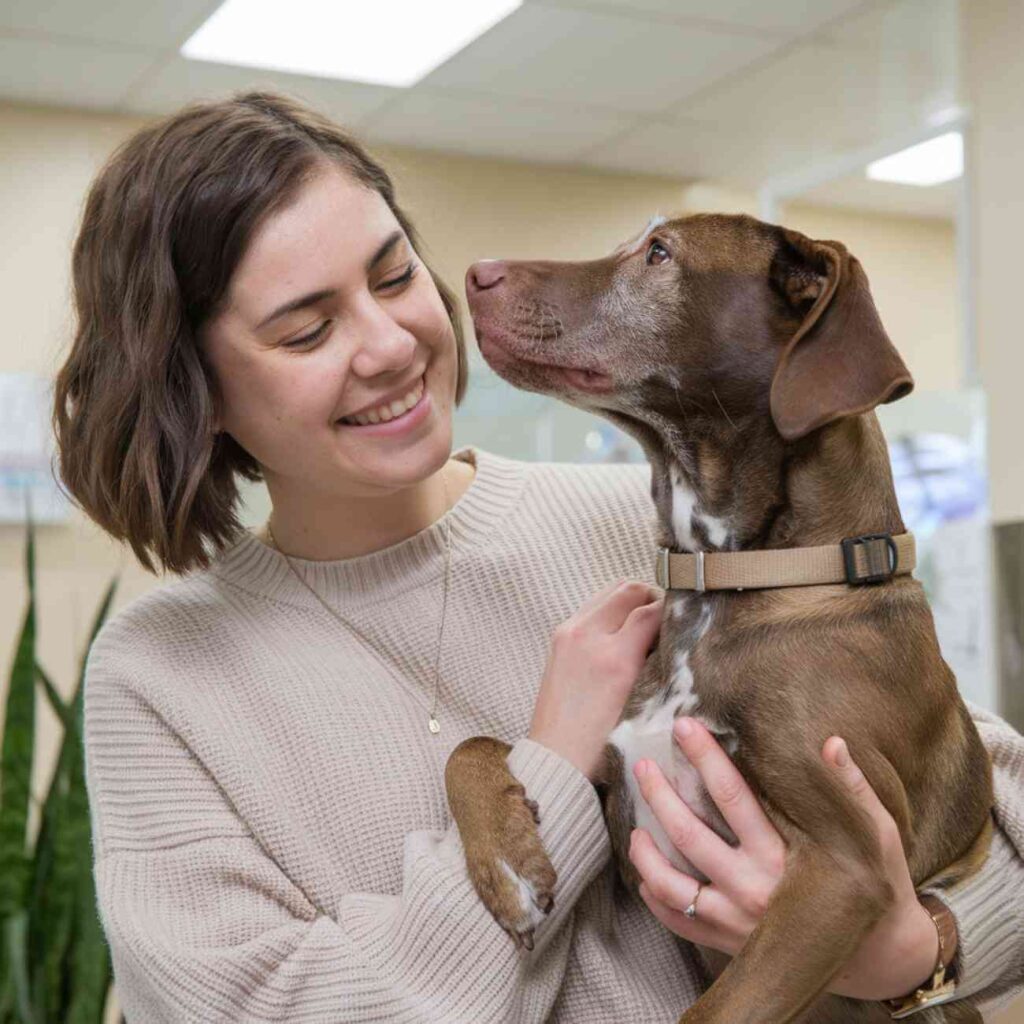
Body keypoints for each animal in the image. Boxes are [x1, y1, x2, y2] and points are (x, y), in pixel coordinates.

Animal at [444, 211, 995, 1019]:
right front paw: (508, 867)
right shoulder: (617, 780)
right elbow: (474, 746)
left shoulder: (847, 867)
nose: (473, 273)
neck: (729, 584)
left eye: (658, 253)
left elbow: (709, 1010)